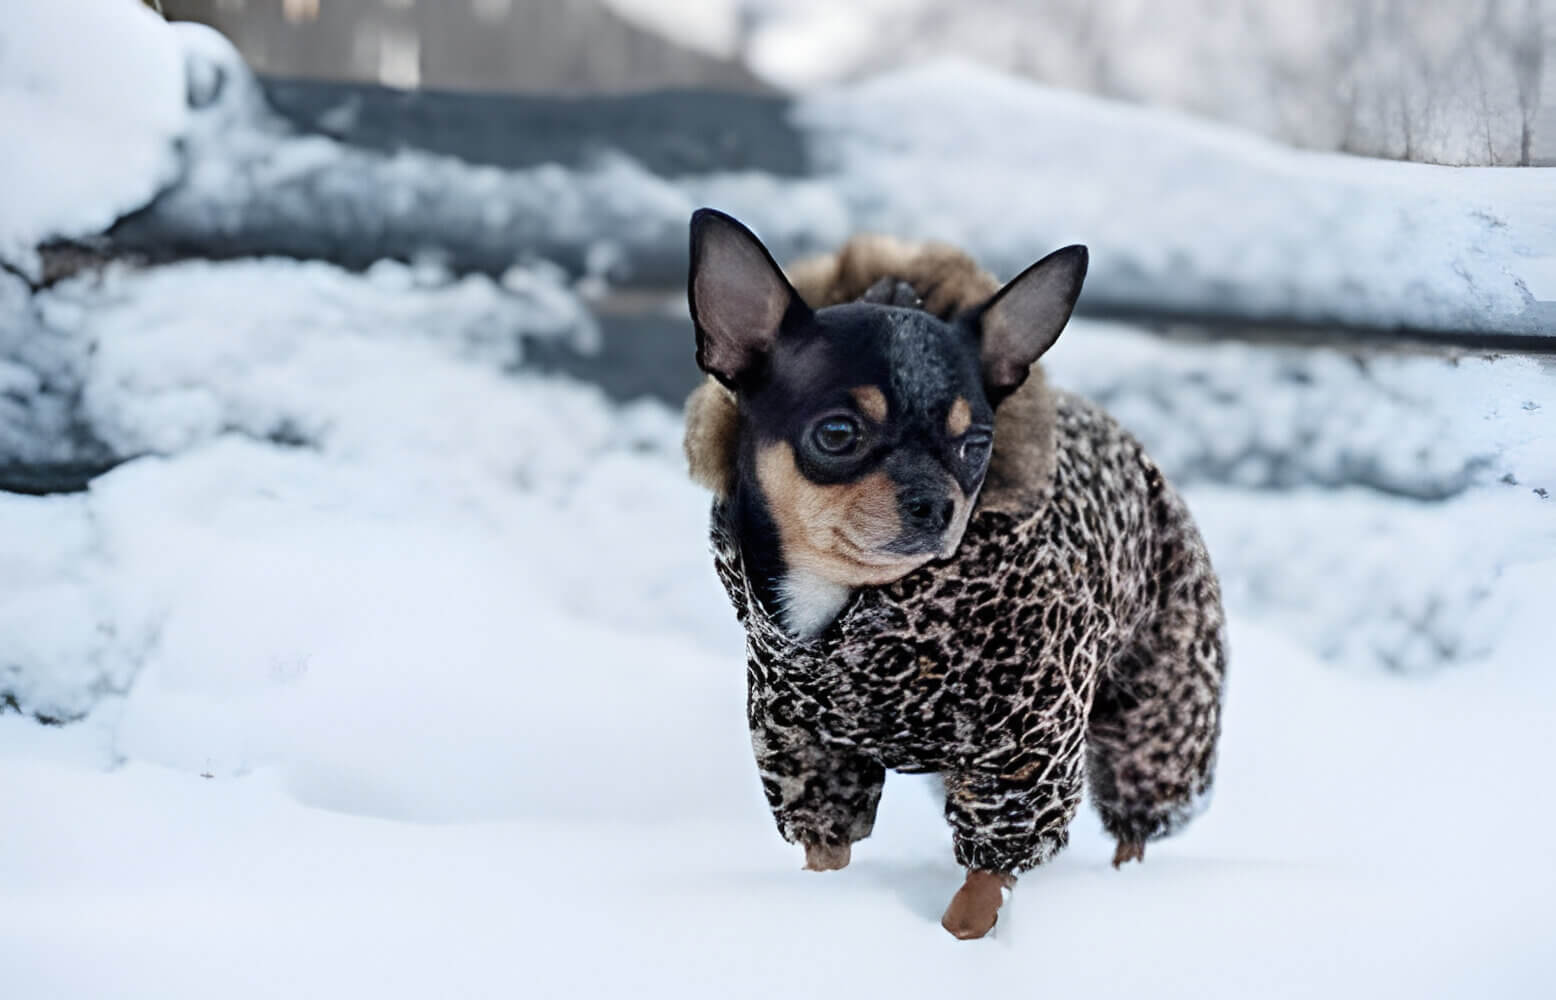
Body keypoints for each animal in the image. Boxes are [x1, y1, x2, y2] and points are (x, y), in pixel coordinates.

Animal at [681, 206, 1226, 945]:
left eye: (976, 446)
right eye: (837, 433)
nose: (936, 502)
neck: (850, 610)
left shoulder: (1020, 761)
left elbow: (981, 888)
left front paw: (958, 947)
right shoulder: (808, 754)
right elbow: (828, 851)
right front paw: (826, 912)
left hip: (1159, 708)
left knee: (1134, 825)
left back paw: (1126, 889)